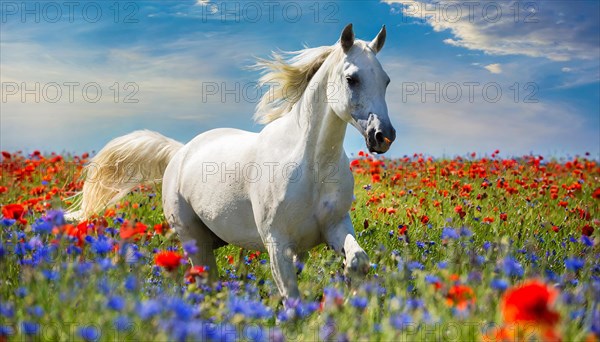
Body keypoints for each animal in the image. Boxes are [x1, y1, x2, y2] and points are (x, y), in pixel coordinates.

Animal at [67, 24, 394, 298]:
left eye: (386, 80)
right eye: (352, 79)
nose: (383, 136)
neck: (312, 164)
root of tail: (181, 151)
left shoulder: (334, 227)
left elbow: (358, 260)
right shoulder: (277, 243)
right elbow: (291, 298)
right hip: (194, 240)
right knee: (204, 280)